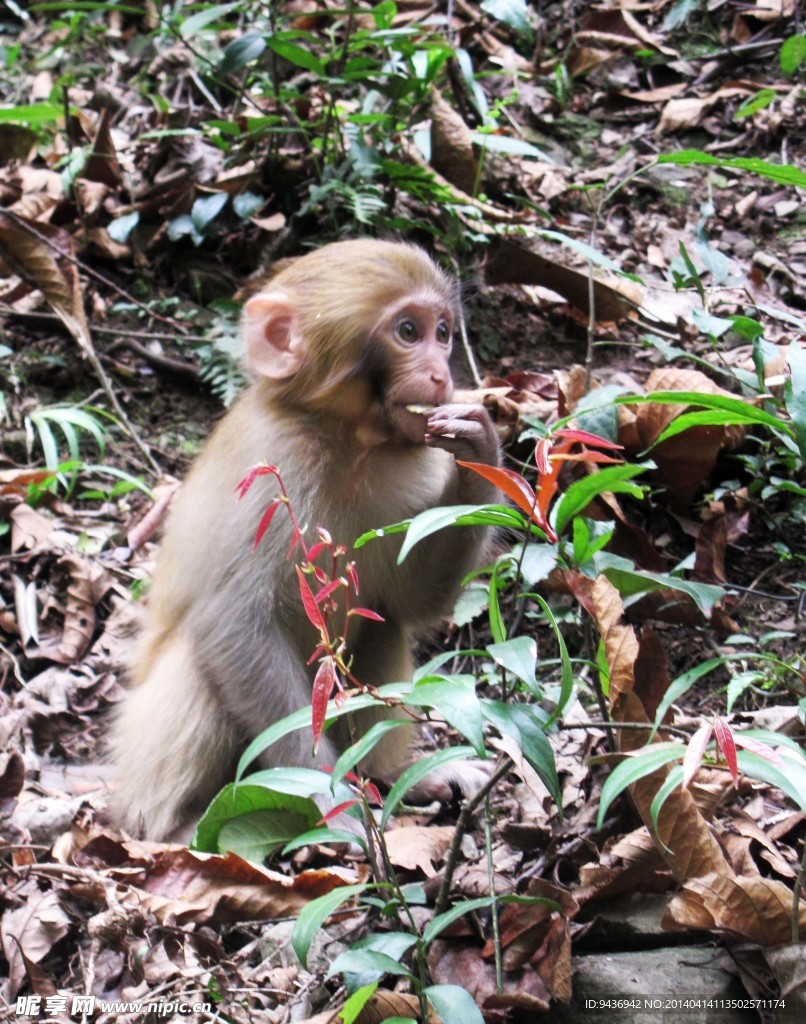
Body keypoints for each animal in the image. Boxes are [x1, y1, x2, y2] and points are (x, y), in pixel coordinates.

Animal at [110, 239, 501, 839]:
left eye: (443, 332)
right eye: (407, 331)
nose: (440, 375)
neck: (349, 440)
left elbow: (413, 600)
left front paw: (479, 451)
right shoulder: (271, 463)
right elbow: (234, 625)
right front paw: (328, 802)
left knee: (383, 623)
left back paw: (397, 780)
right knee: (199, 659)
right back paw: (174, 826)